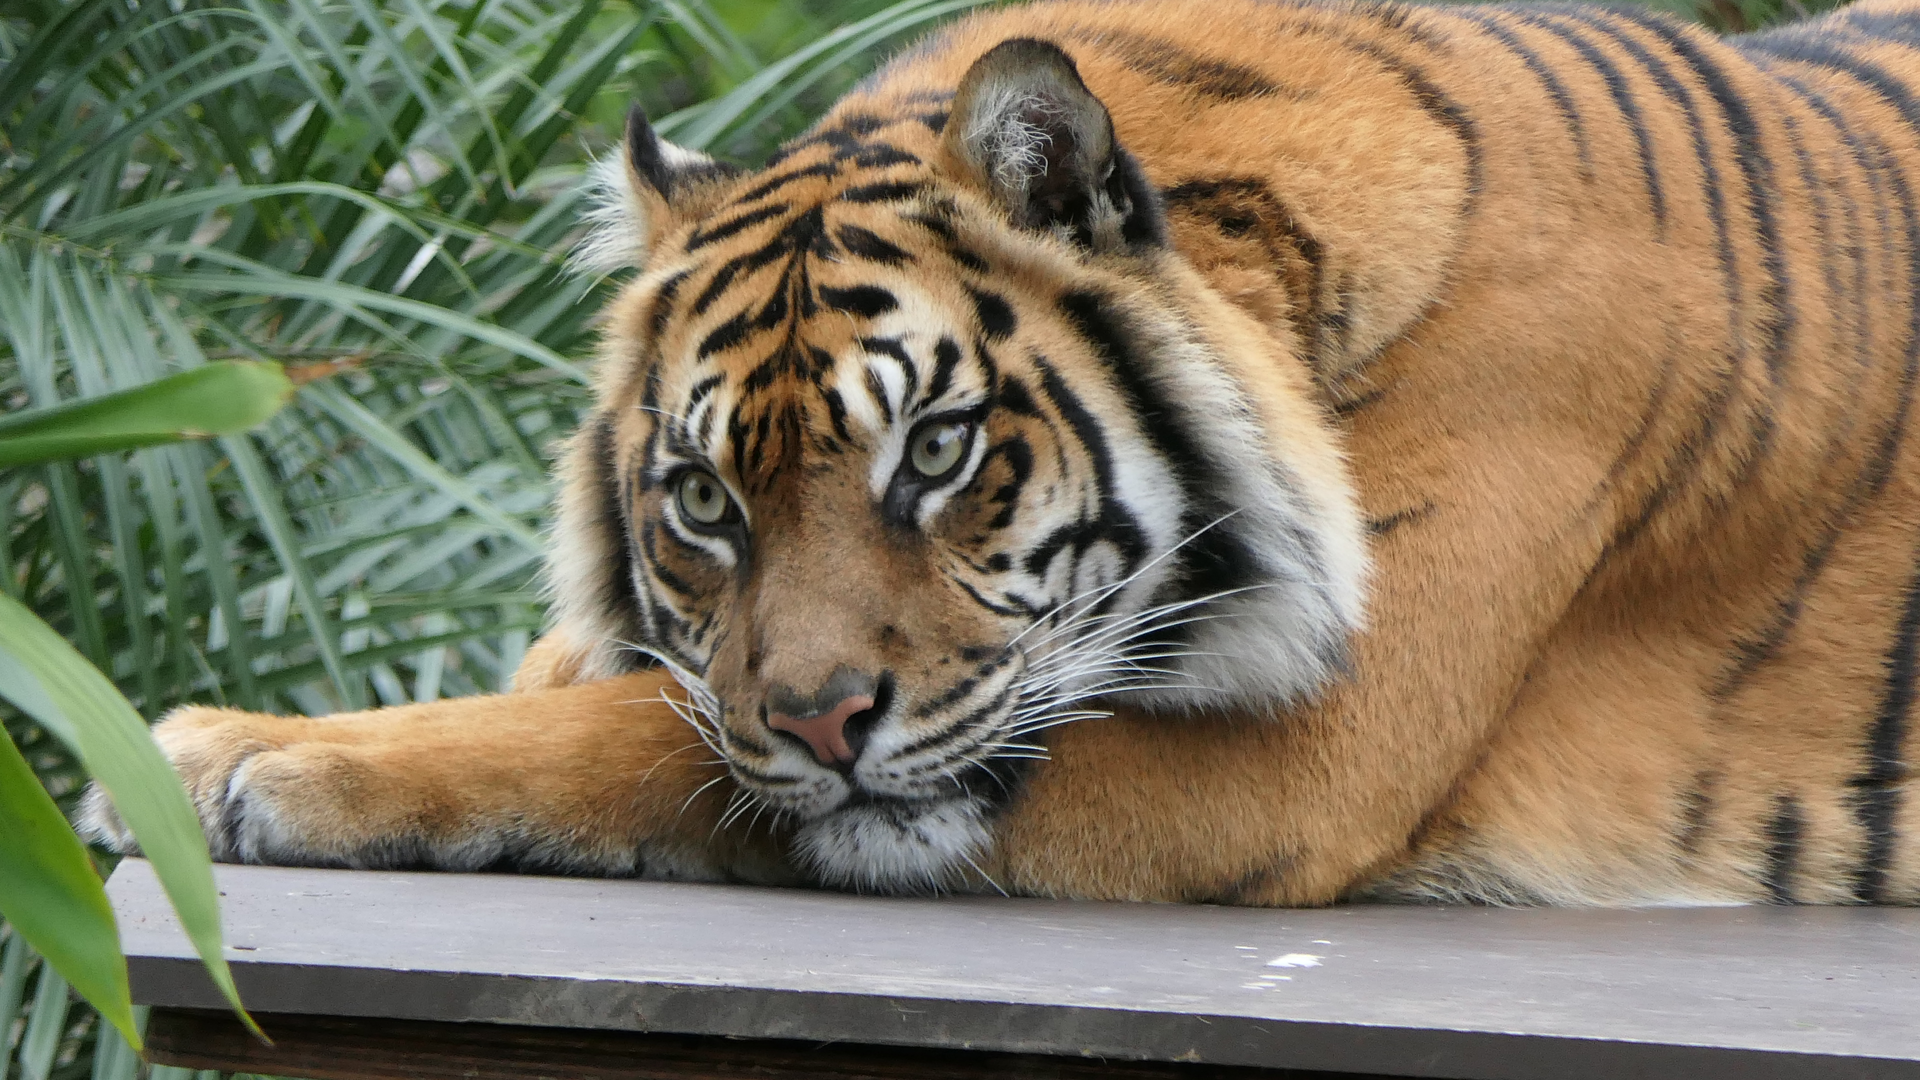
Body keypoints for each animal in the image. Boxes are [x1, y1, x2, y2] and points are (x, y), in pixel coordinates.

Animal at [81, 0, 1920, 906]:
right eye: (703, 503)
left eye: (939, 450)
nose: (824, 723)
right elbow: (626, 685)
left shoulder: (1305, 750)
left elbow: (637, 735)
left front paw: (247, 754)